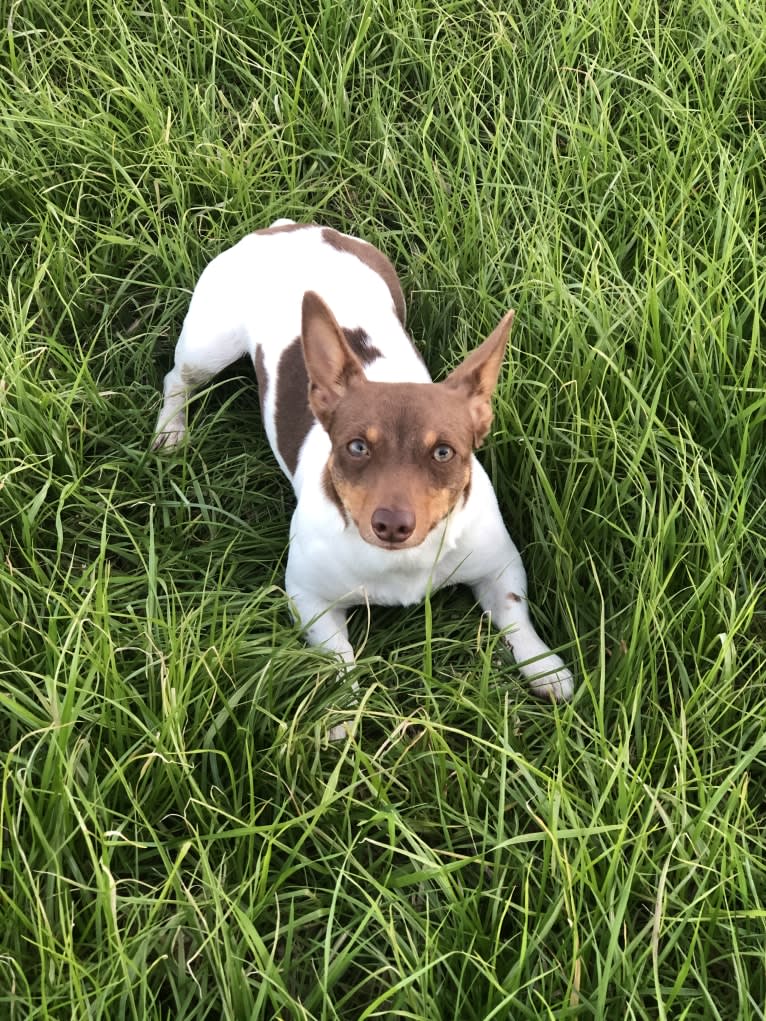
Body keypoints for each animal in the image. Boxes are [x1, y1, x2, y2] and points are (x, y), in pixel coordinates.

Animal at [154, 219, 576, 735]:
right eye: (356, 447)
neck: (402, 561)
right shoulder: (310, 599)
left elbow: (516, 614)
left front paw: (544, 666)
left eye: (444, 453)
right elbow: (338, 658)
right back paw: (171, 430)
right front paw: (339, 707)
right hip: (208, 344)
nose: (392, 522)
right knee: (178, 378)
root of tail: (290, 227)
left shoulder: (500, 567)